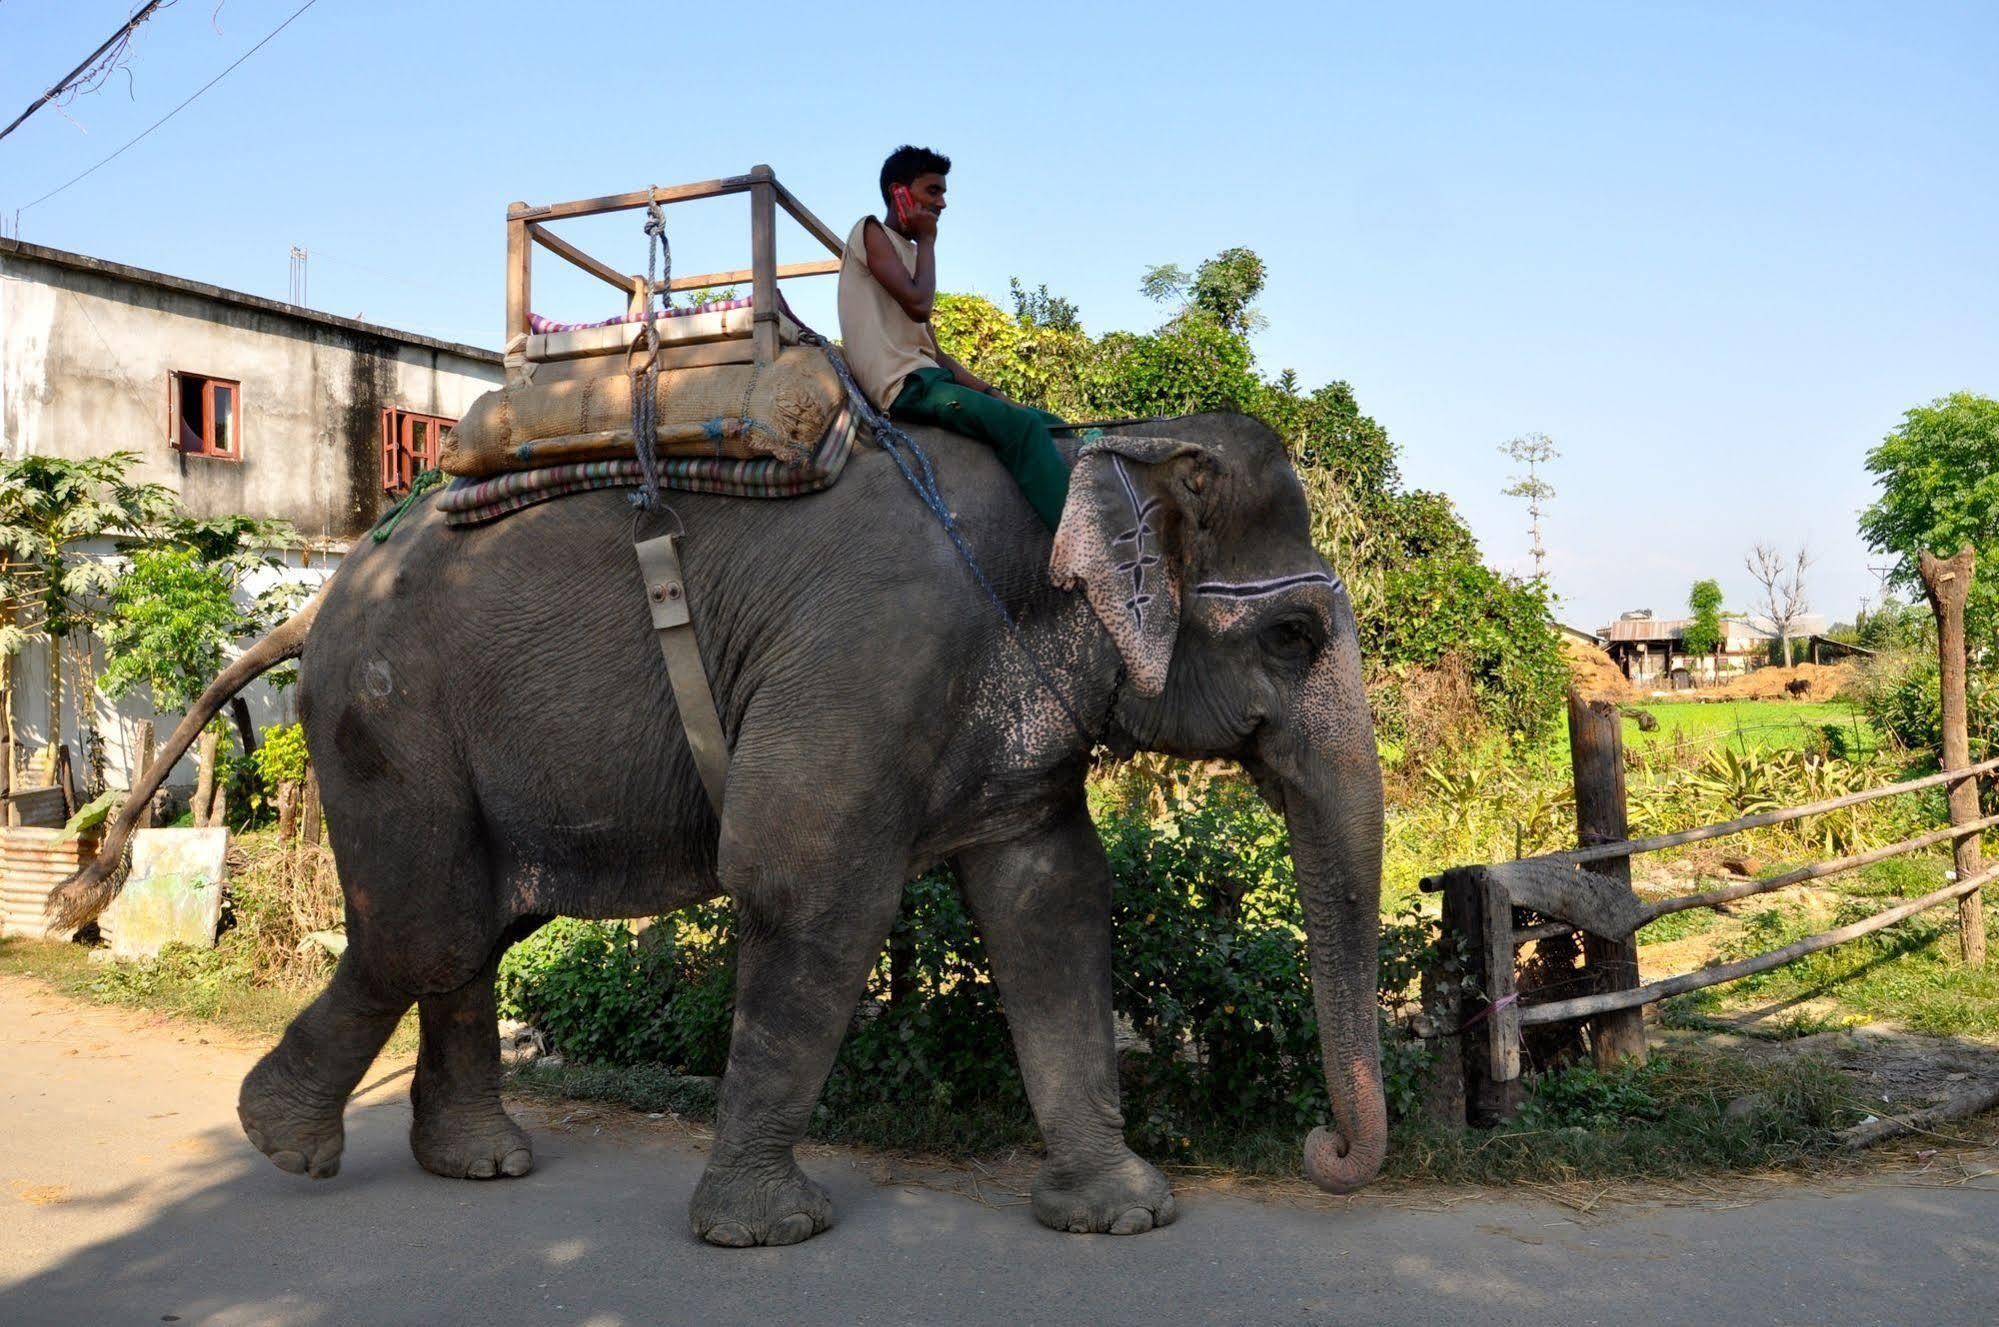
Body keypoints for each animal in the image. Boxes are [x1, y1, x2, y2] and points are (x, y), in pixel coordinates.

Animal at [50, 409, 1391, 1247]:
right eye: (1292, 639)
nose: (1322, 1150)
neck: (1081, 451)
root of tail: (311, 600)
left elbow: (1052, 896)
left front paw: (1121, 1217)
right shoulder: (866, 652)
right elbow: (804, 880)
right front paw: (768, 1234)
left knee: (475, 925)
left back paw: (475, 1161)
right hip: (386, 713)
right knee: (428, 928)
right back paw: (285, 1143)